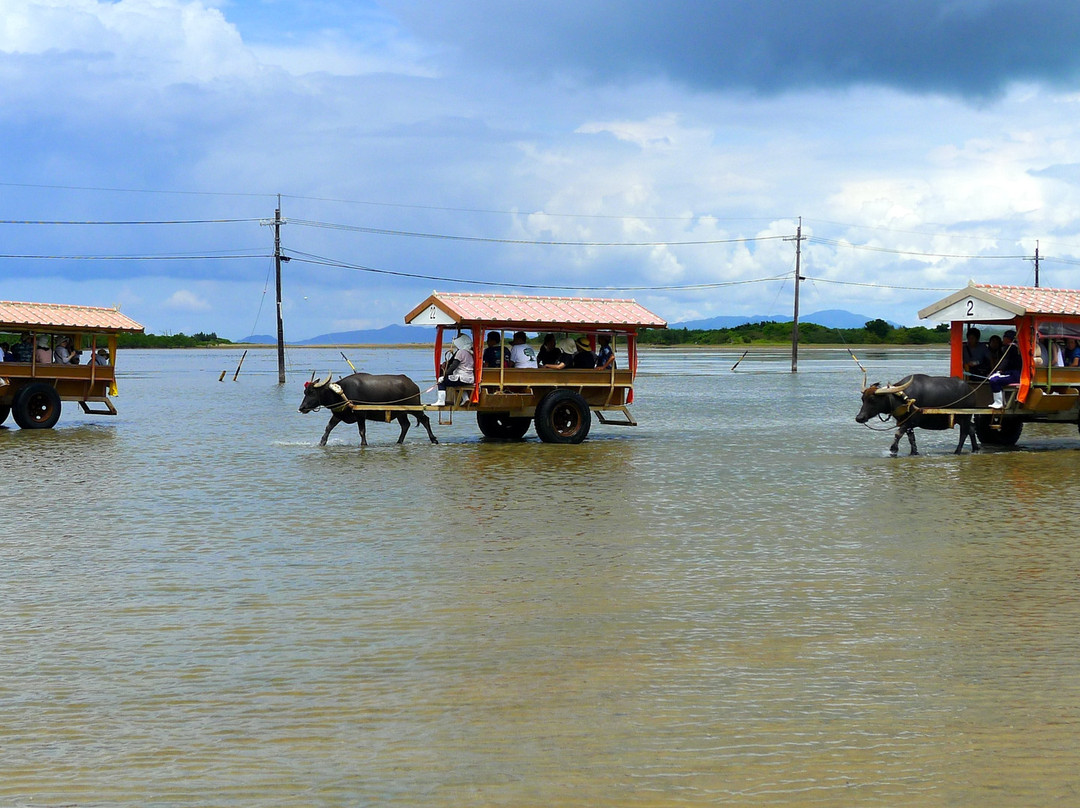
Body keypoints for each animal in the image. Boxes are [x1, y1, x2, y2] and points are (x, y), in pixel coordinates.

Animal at [298, 371, 436, 447]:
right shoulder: (338, 415)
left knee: (425, 420)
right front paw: (322, 443)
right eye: (305, 392)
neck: (341, 393)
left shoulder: (360, 414)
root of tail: (413, 384)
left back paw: (434, 439)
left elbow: (362, 431)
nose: (302, 408)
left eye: (312, 392)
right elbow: (328, 428)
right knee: (405, 425)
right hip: (401, 412)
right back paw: (398, 442)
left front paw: (364, 444)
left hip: (414, 408)